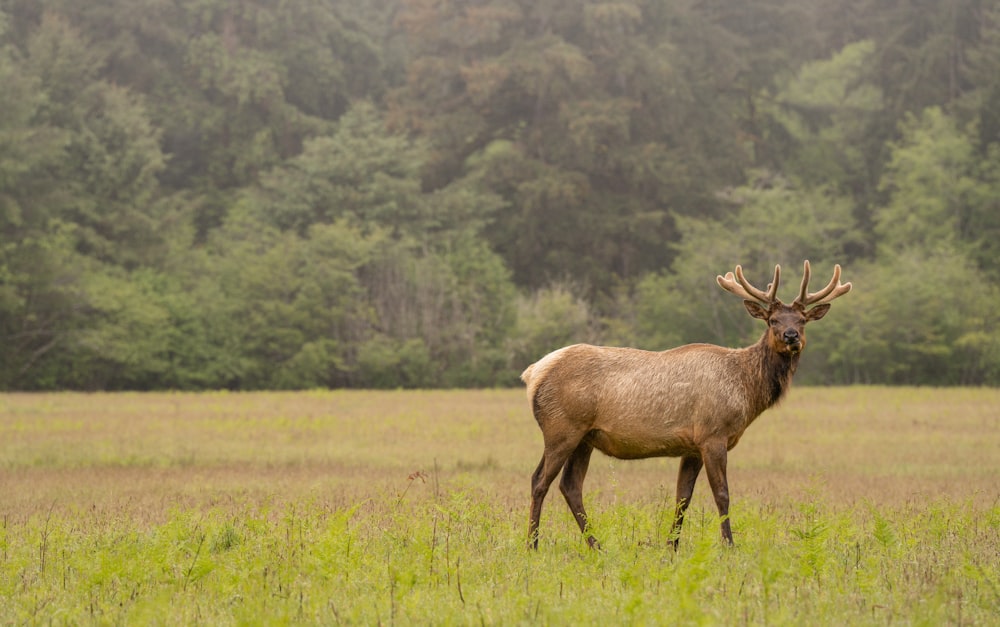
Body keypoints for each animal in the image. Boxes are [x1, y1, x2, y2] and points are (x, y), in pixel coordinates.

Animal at [524, 260, 852, 548]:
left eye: (802, 320)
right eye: (772, 320)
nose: (791, 336)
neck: (745, 390)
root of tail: (533, 374)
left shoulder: (691, 446)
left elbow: (683, 497)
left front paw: (672, 546)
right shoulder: (712, 435)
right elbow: (722, 493)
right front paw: (729, 545)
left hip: (585, 437)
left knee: (570, 485)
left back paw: (596, 545)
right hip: (561, 428)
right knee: (539, 480)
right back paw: (532, 544)